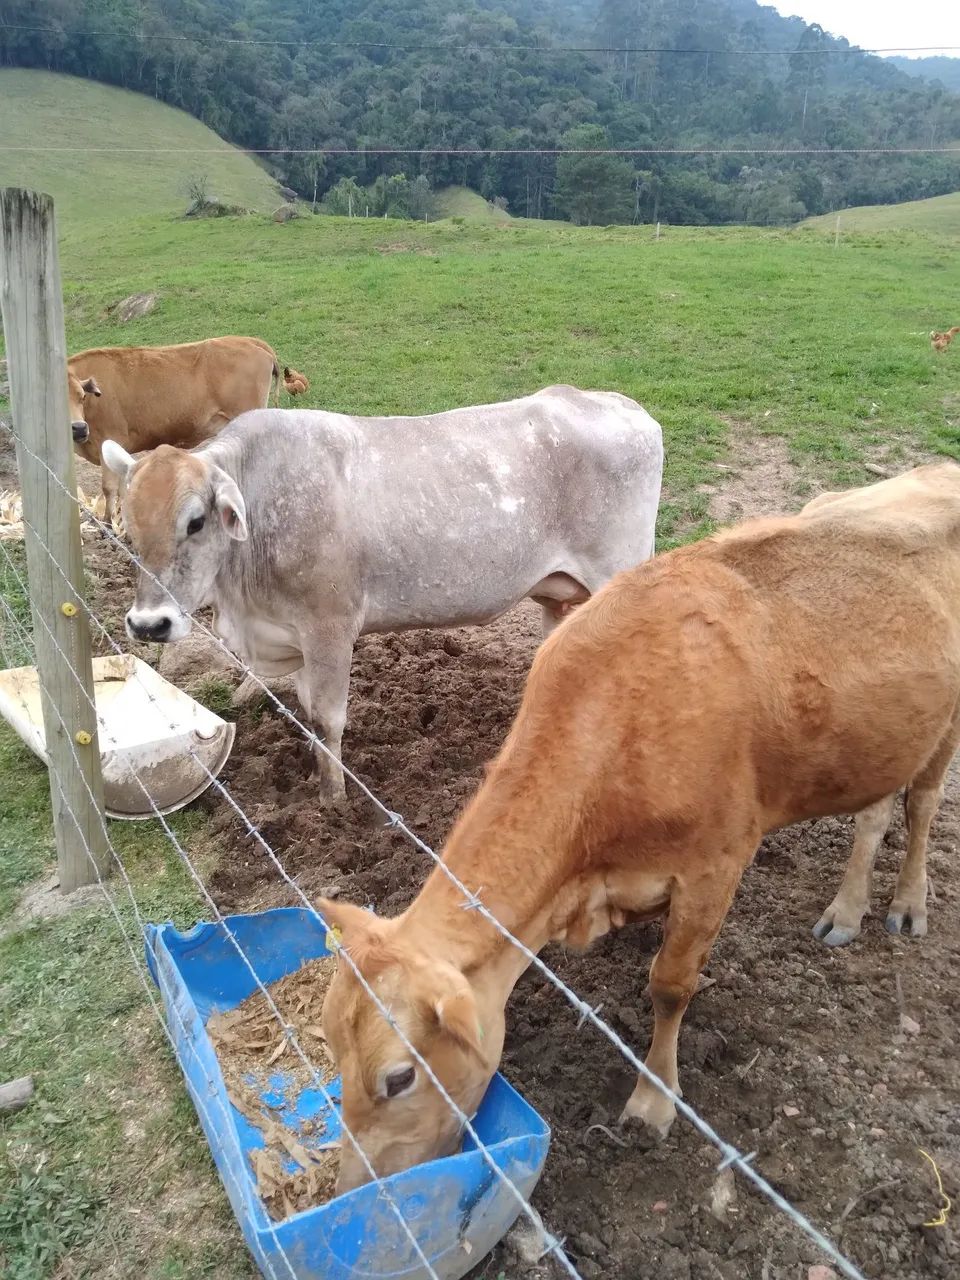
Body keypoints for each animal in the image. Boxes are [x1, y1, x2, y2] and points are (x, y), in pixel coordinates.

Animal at [67, 337, 304, 524]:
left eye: (82, 396)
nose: (78, 429)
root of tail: (251, 341)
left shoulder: (108, 437)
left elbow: (108, 488)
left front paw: (108, 523)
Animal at [101, 386, 664, 799]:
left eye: (196, 521)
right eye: (129, 527)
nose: (148, 625)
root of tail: (621, 405)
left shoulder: (329, 628)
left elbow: (328, 718)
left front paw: (333, 801)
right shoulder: (294, 635)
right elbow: (307, 712)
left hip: (619, 573)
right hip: (560, 596)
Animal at [316, 462, 960, 1193]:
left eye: (399, 1078)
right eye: (330, 1047)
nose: (354, 1189)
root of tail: (936, 469)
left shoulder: (716, 864)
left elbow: (670, 984)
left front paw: (653, 1100)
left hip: (945, 724)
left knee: (923, 803)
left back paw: (907, 905)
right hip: (879, 738)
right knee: (875, 812)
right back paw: (845, 912)